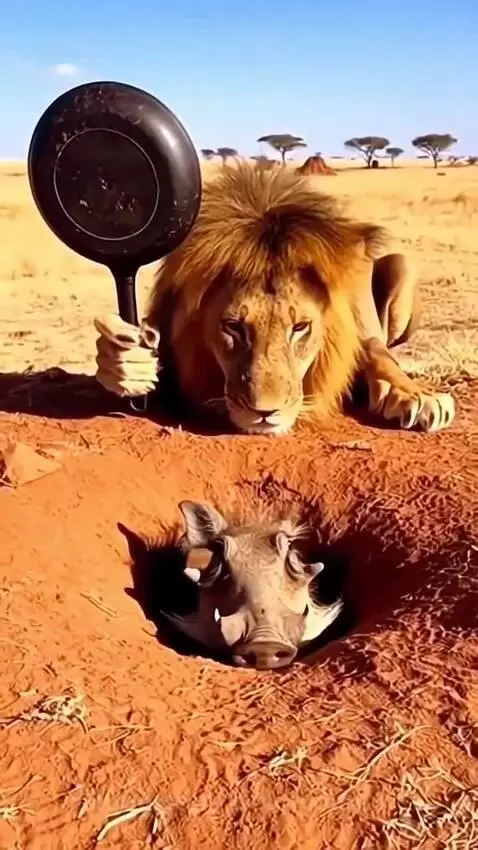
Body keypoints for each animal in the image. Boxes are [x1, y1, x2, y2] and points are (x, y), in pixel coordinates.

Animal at [94, 161, 455, 434]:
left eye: (300, 327)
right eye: (233, 326)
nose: (265, 413)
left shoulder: (361, 333)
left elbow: (378, 354)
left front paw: (416, 396)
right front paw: (123, 363)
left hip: (402, 266)